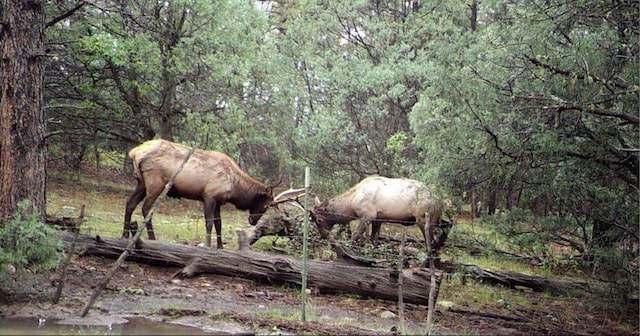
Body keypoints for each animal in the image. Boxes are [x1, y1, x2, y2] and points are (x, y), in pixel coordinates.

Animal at [122, 138, 278, 247]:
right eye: (266, 206)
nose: (253, 221)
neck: (234, 188)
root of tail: (135, 152)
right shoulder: (209, 195)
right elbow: (209, 223)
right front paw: (208, 245)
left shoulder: (218, 201)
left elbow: (218, 223)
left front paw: (220, 246)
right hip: (155, 182)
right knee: (146, 208)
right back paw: (152, 238)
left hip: (141, 182)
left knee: (130, 203)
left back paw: (124, 235)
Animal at [312, 175, 452, 251]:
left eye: (319, 220)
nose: (322, 236)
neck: (352, 203)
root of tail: (440, 199)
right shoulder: (378, 219)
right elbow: (374, 239)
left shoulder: (368, 216)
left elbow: (356, 235)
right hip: (436, 218)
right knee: (448, 225)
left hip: (423, 218)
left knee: (430, 241)